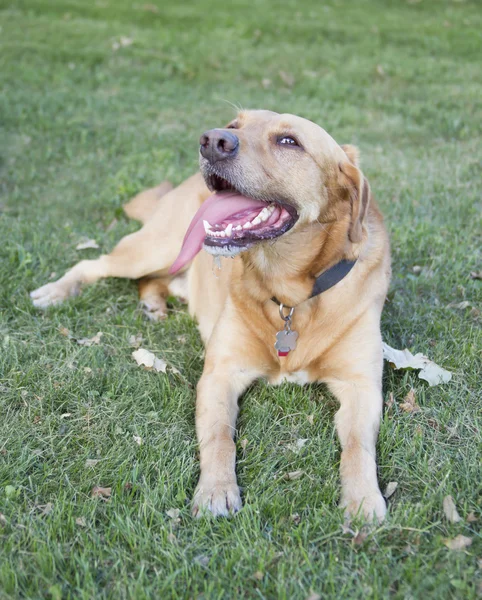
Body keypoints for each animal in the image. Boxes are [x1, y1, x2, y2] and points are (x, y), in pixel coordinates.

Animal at [31, 111, 392, 520]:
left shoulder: (361, 386)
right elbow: (220, 437)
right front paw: (217, 489)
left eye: (289, 141)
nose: (211, 142)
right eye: (234, 124)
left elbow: (358, 445)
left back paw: (153, 303)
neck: (289, 296)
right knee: (95, 264)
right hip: (155, 248)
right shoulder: (220, 376)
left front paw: (363, 499)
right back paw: (58, 291)